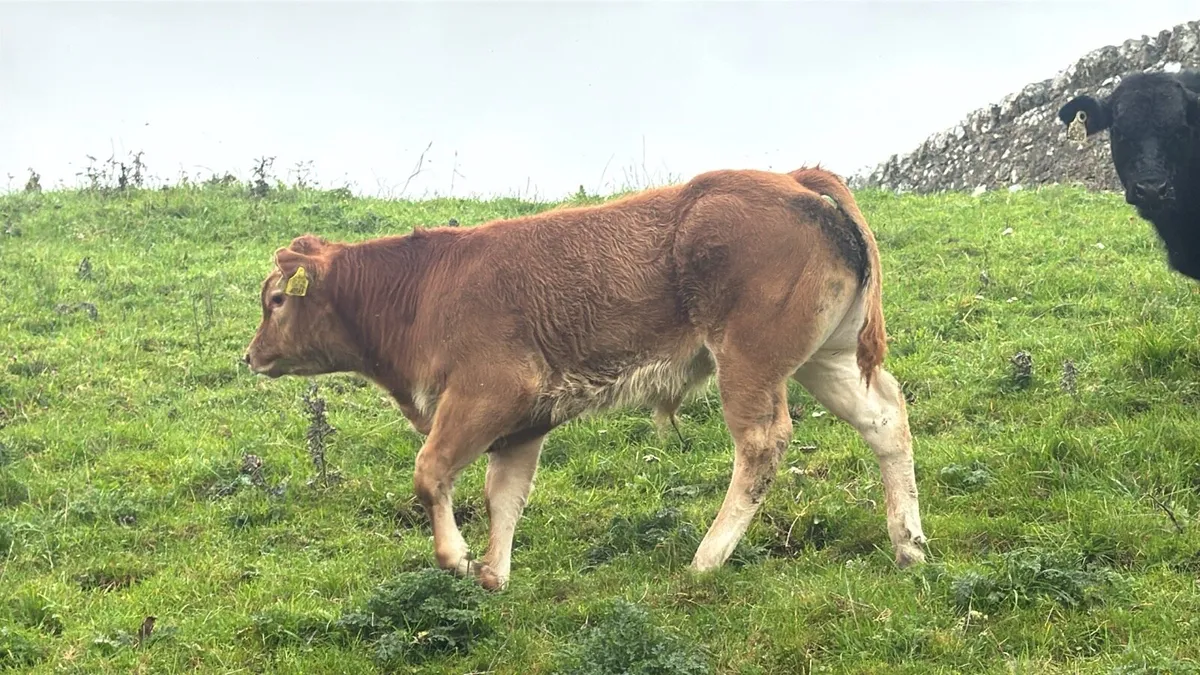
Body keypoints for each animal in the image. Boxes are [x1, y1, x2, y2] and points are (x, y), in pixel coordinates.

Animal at [242, 166, 927, 590]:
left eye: (276, 299)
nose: (251, 355)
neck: (423, 288)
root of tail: (791, 177)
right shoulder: (523, 422)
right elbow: (504, 495)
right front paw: (495, 573)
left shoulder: (488, 391)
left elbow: (431, 472)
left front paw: (457, 558)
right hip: (824, 358)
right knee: (885, 418)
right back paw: (909, 546)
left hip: (749, 363)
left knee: (762, 445)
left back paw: (706, 558)